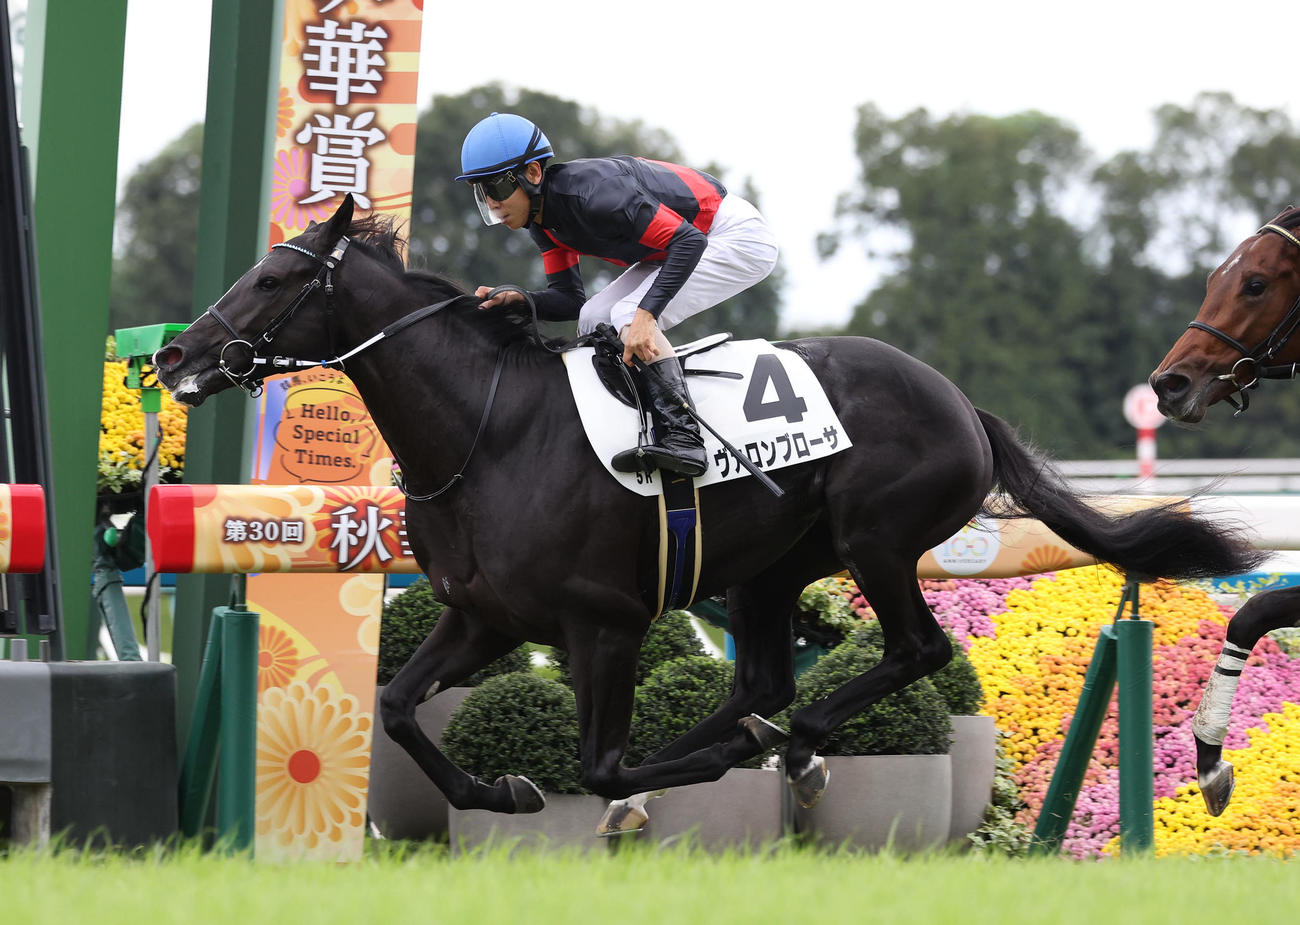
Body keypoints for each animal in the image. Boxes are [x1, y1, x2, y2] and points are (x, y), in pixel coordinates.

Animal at [154, 193, 1264, 828]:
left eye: (278, 276)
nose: (172, 354)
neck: (489, 432)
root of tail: (961, 402)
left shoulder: (601, 622)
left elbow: (600, 764)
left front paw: (635, 775)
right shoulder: (484, 615)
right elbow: (395, 705)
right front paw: (501, 787)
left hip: (876, 539)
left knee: (908, 653)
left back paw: (797, 741)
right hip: (774, 567)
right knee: (760, 679)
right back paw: (762, 740)